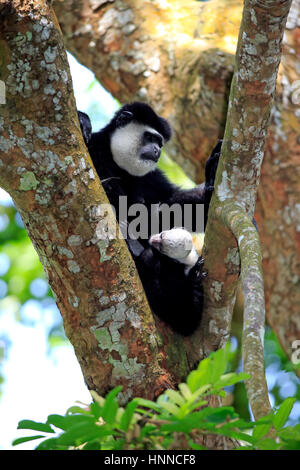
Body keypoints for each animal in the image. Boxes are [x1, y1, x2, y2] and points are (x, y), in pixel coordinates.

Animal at [78, 103, 221, 334]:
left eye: (160, 142)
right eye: (150, 137)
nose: (157, 150)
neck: (121, 167)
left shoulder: (152, 178)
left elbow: (172, 208)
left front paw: (213, 172)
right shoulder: (95, 151)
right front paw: (83, 121)